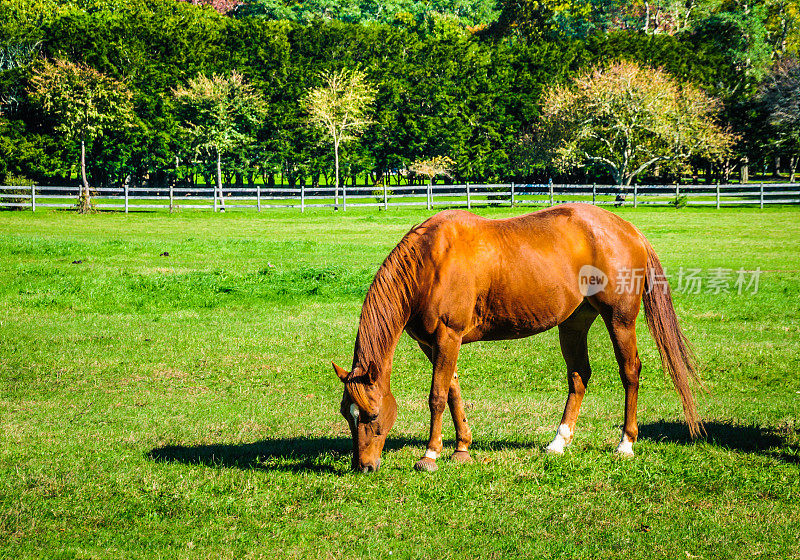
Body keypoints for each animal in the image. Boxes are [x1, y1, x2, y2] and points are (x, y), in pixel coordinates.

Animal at [332, 203, 700, 470]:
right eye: (347, 414)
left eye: (372, 415)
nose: (363, 465)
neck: (429, 262)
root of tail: (629, 230)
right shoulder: (431, 343)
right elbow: (452, 391)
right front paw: (462, 448)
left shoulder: (447, 337)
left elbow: (437, 396)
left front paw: (430, 454)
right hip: (574, 323)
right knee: (579, 376)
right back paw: (559, 442)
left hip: (620, 320)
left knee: (630, 372)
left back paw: (626, 443)